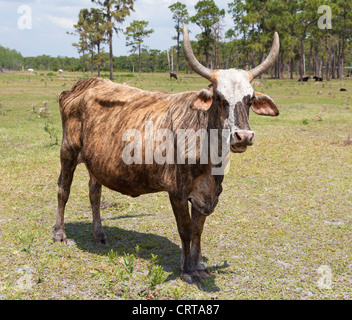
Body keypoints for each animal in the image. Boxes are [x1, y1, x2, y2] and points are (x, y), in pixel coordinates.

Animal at [53, 25, 280, 284]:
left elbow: (198, 230)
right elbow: (186, 229)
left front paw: (199, 265)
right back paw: (59, 233)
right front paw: (187, 269)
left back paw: (98, 233)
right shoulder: (177, 192)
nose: (243, 136)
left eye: (250, 100)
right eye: (219, 98)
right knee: (63, 190)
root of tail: (83, 84)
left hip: (97, 162)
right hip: (68, 151)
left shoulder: (207, 194)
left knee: (94, 193)